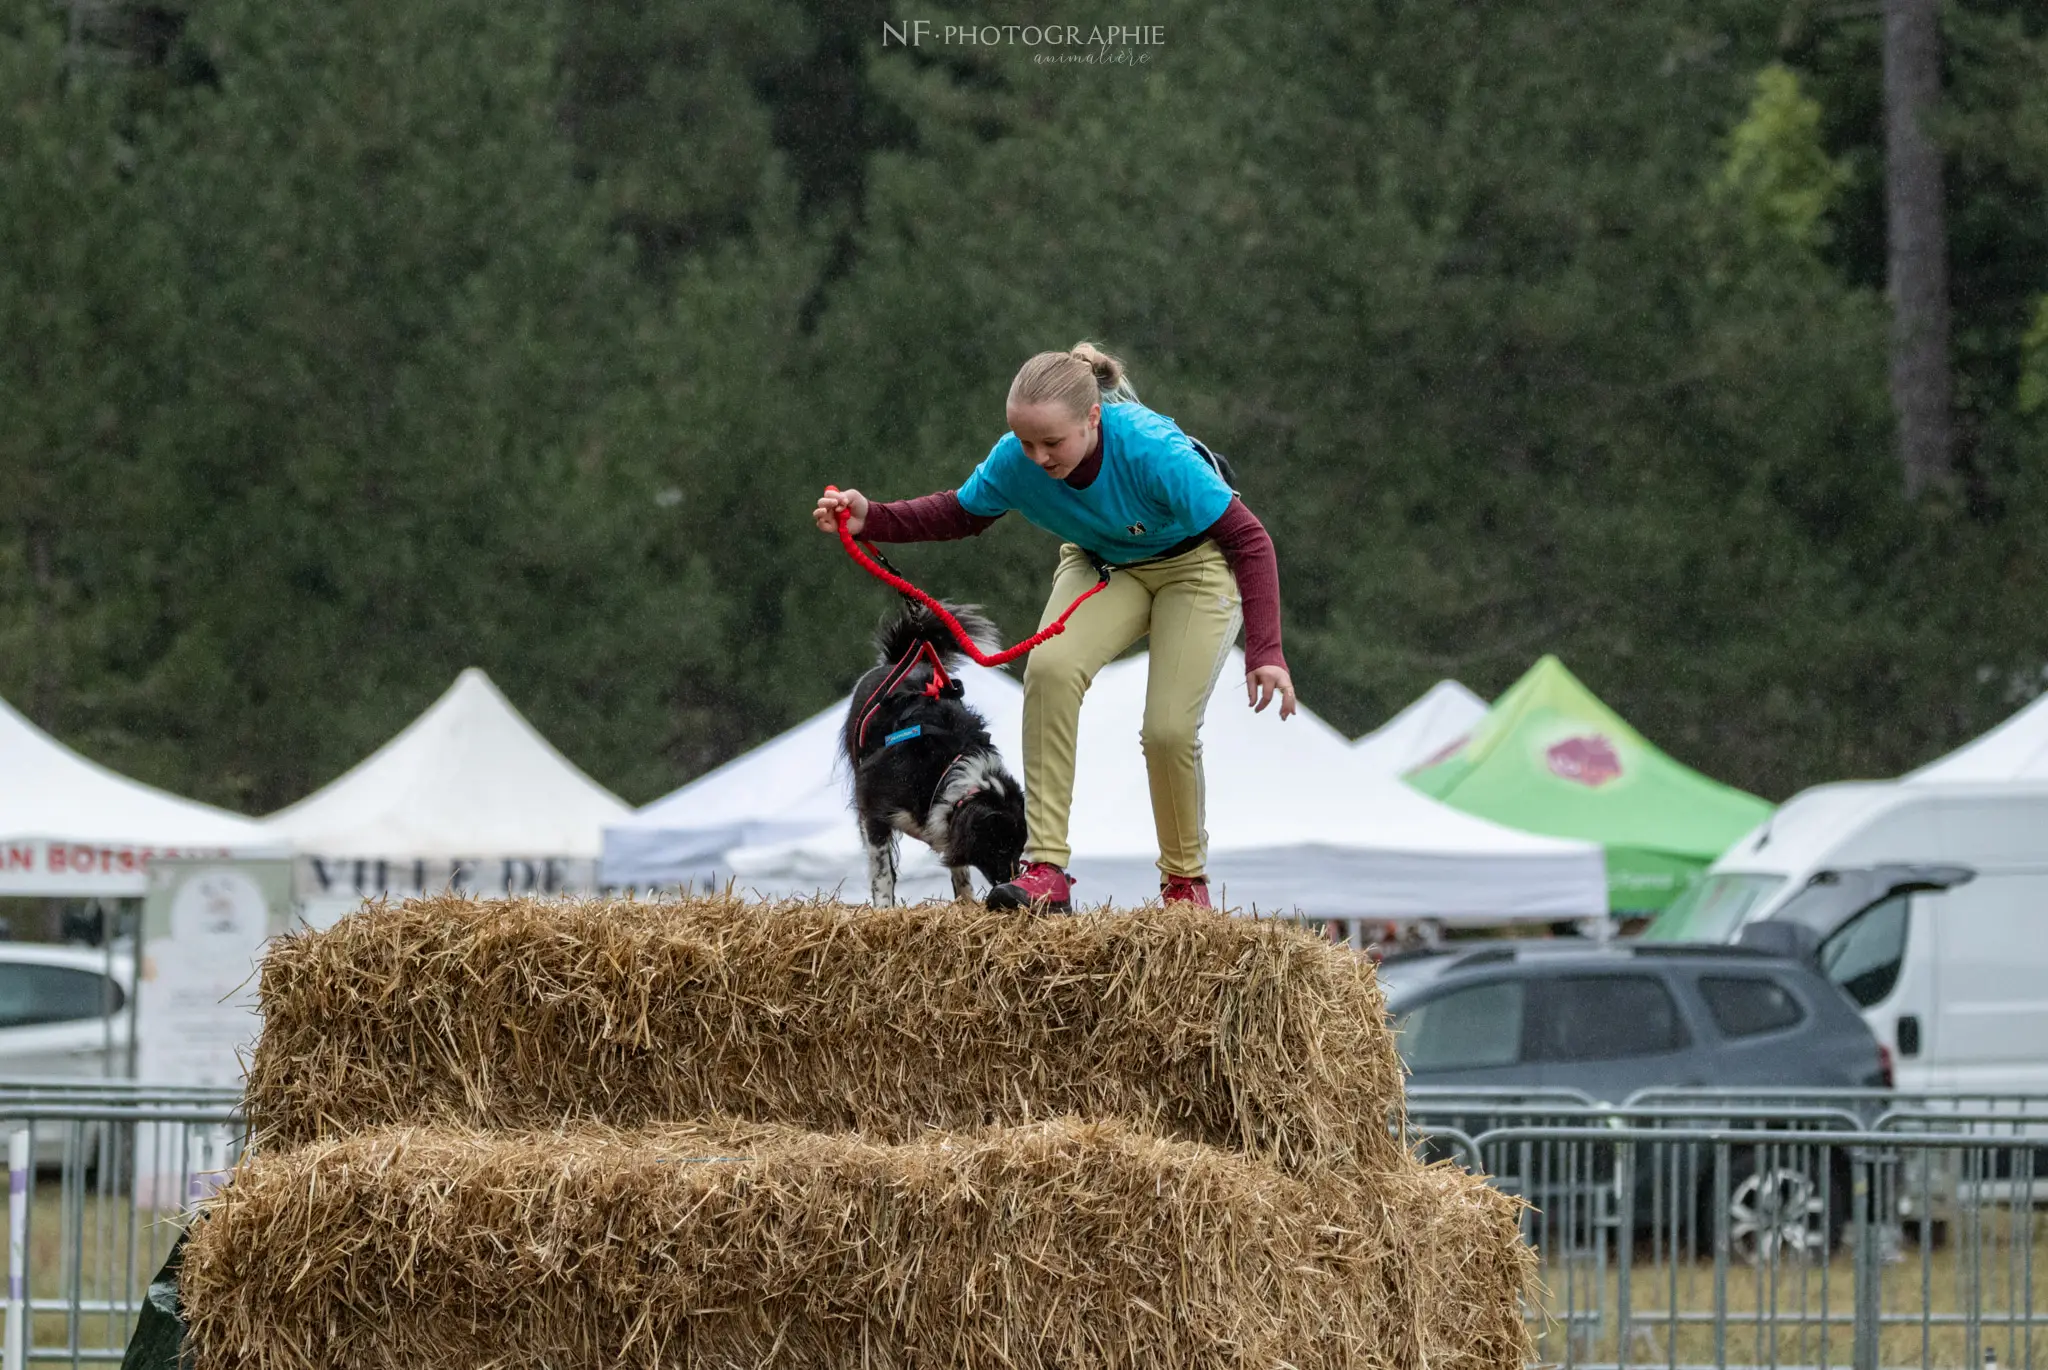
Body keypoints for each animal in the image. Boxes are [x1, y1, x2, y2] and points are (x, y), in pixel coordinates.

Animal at [839, 593, 1024, 896]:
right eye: (1000, 847)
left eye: (1020, 848)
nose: (1011, 881)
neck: (947, 766)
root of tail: (899, 661)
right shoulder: (872, 804)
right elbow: (882, 871)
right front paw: (884, 904)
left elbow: (959, 871)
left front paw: (966, 901)